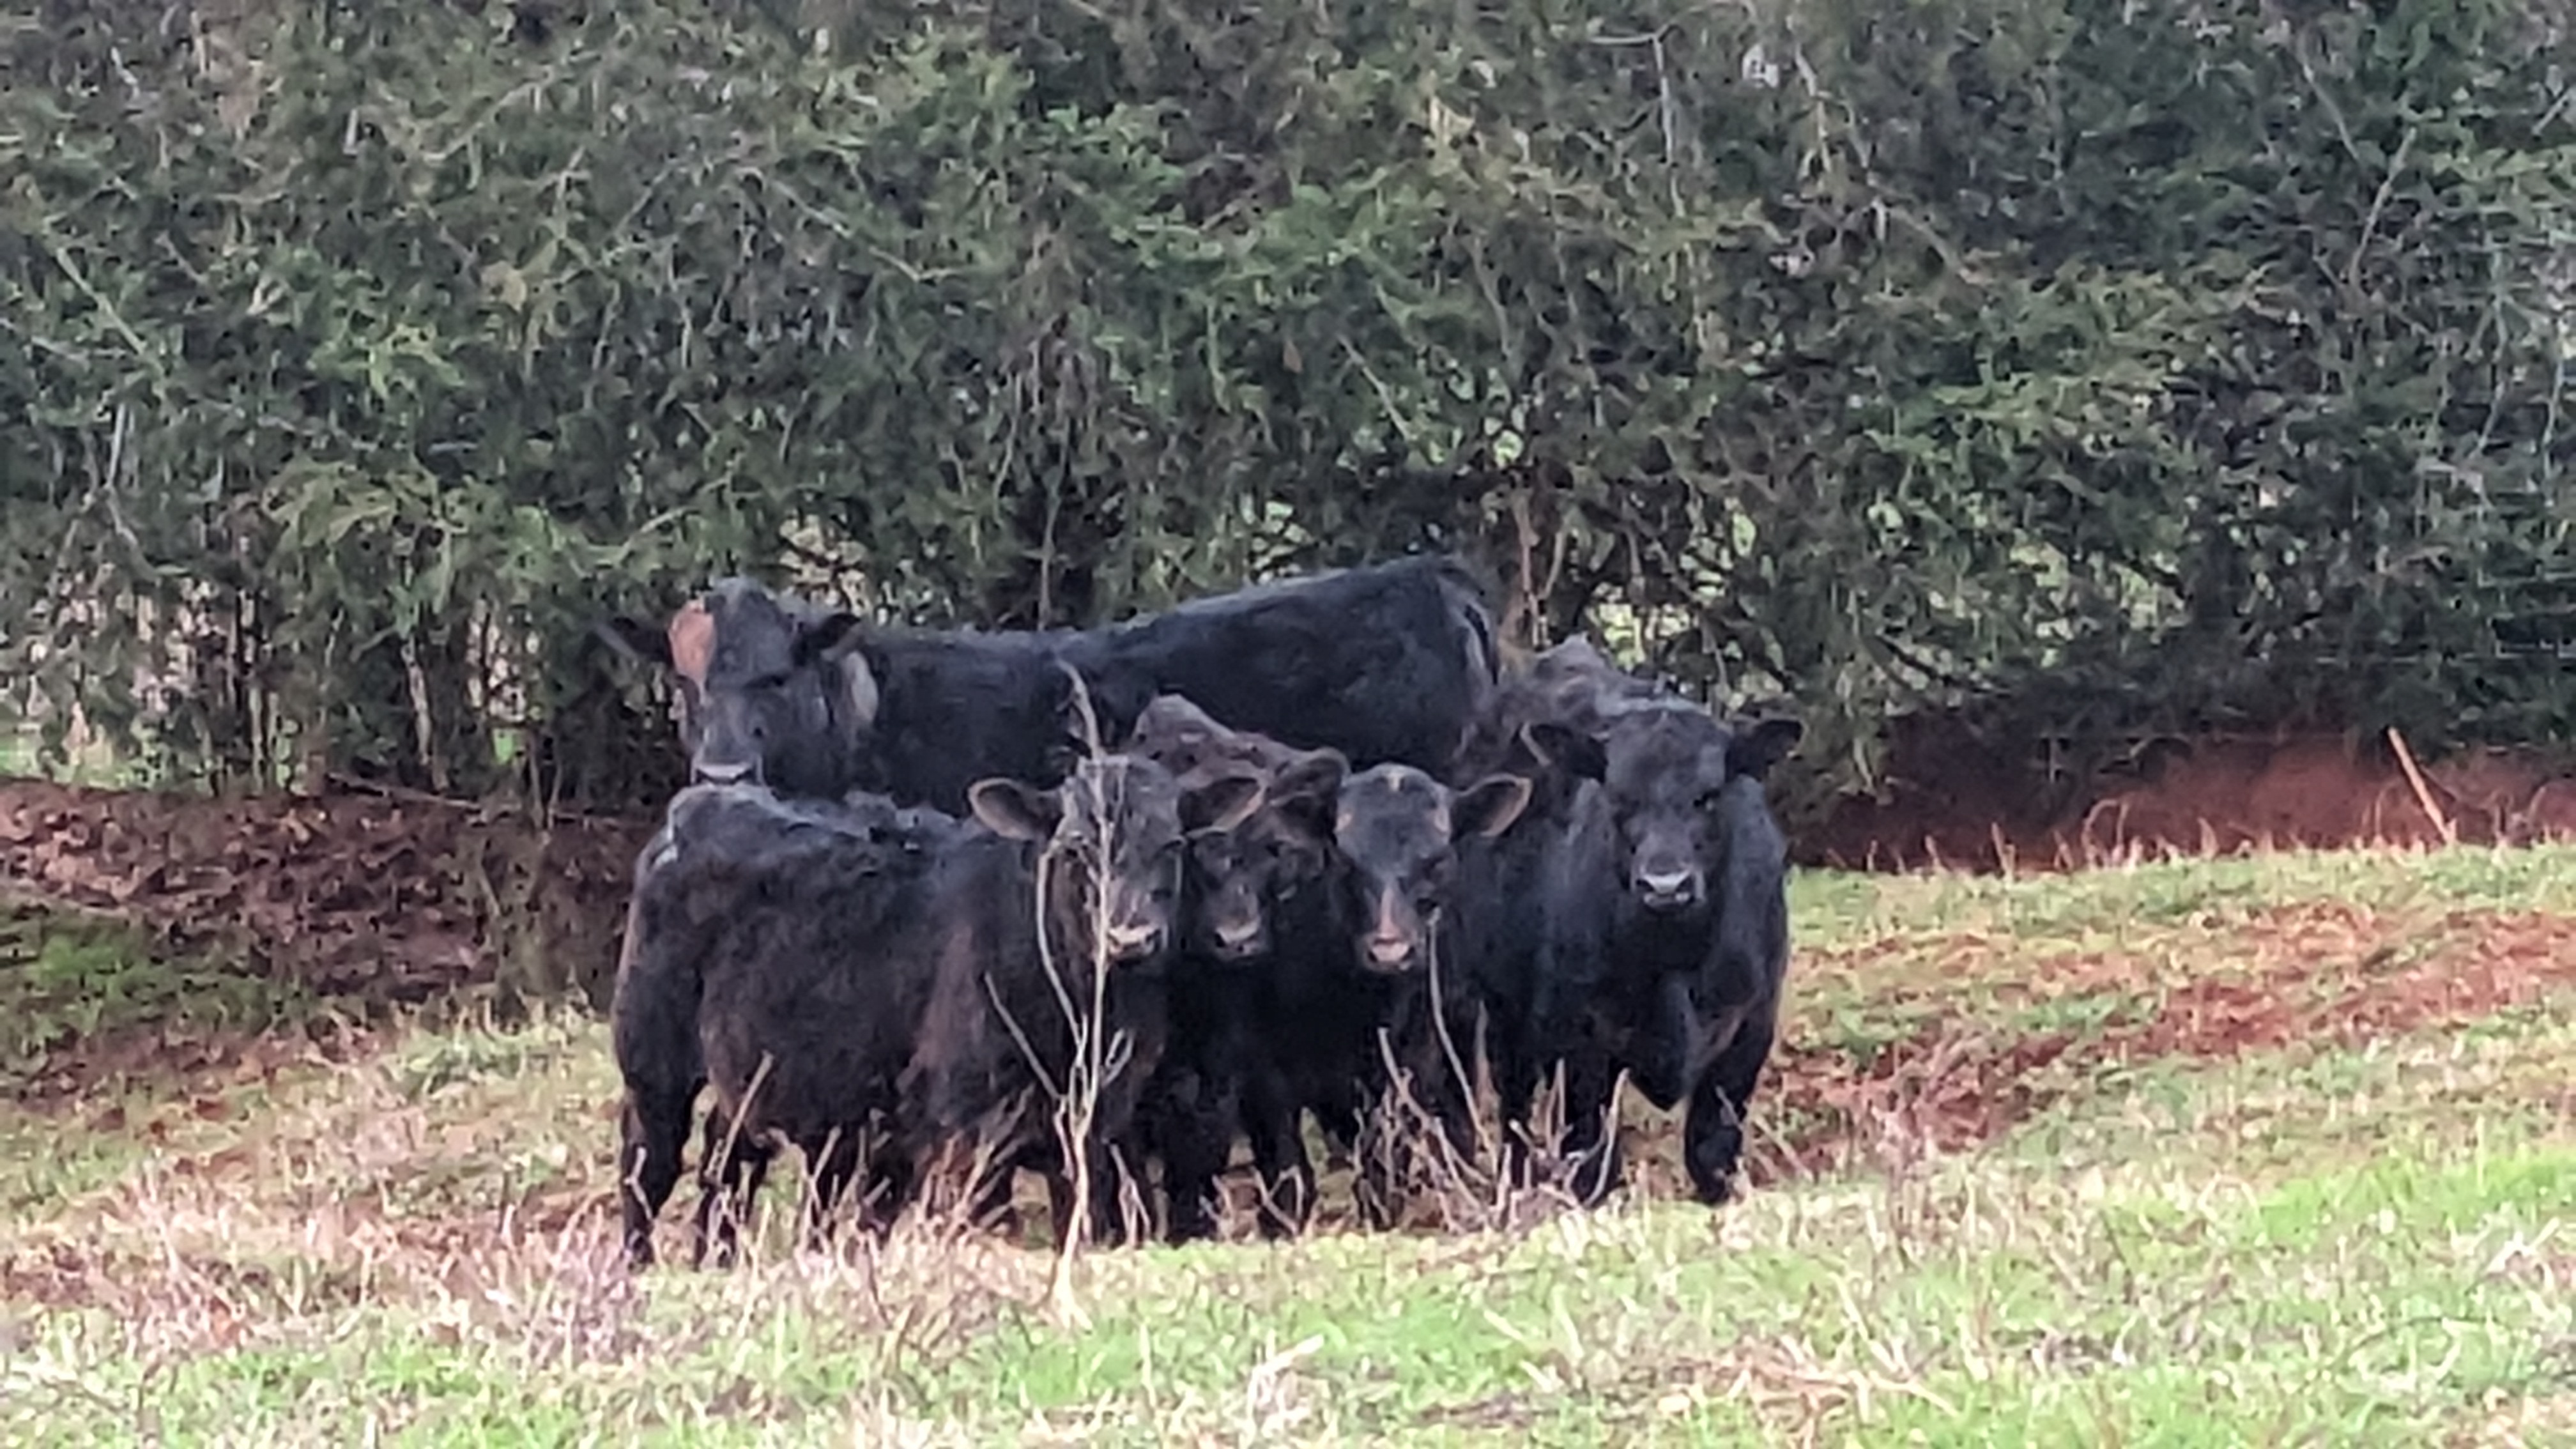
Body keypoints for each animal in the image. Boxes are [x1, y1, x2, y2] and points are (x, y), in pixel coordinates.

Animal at [611, 738, 1265, 1270]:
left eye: (1173, 845)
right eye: (1076, 847)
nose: (1130, 938)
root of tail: (700, 804)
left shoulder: (1093, 1124)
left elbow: (1077, 1218)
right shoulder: (963, 1127)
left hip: (755, 1077)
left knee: (728, 1161)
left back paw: (716, 1262)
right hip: (652, 1058)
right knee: (649, 1164)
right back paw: (636, 1267)